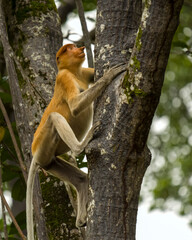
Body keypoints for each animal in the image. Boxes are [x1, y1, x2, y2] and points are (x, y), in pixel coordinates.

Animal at [26, 43, 126, 240]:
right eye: (68, 49)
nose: (80, 48)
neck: (73, 71)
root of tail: (34, 153)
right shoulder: (63, 78)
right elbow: (75, 106)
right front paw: (110, 74)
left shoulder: (84, 72)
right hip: (44, 144)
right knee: (54, 117)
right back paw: (80, 146)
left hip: (49, 161)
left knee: (80, 179)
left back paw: (80, 221)